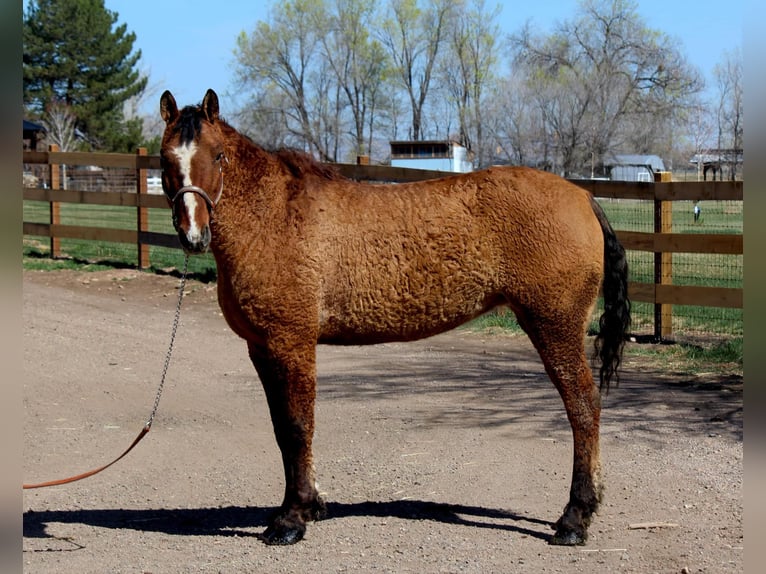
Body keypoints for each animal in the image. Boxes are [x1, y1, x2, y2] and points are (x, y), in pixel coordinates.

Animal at [159, 89, 631, 546]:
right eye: (165, 159)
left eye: (218, 155)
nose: (193, 234)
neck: (274, 216)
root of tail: (582, 196)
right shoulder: (261, 348)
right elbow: (281, 429)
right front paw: (310, 505)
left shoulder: (291, 343)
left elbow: (297, 427)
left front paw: (291, 520)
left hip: (555, 327)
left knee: (583, 407)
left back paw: (574, 519)